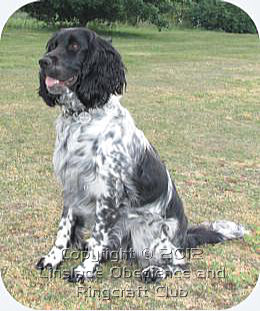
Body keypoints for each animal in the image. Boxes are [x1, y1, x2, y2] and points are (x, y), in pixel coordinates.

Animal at [35, 28, 247, 284]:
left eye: (74, 46)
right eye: (52, 46)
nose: (43, 62)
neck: (82, 117)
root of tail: (183, 237)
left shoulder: (108, 193)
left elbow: (97, 237)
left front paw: (84, 270)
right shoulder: (71, 187)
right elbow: (63, 230)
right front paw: (52, 259)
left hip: (148, 229)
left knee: (180, 263)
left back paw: (154, 271)